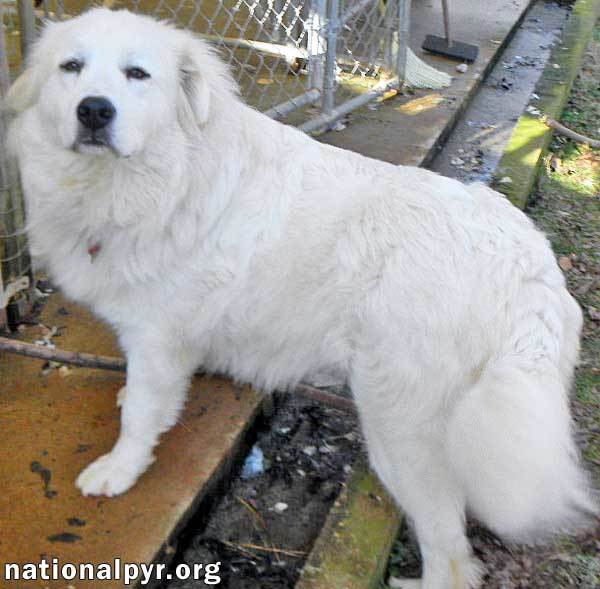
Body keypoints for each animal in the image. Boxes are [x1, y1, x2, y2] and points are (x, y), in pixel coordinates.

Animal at [7, 9, 596, 588]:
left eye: (137, 74)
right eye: (71, 67)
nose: (93, 111)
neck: (164, 175)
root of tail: (532, 267)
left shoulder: (157, 338)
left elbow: (140, 419)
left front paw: (118, 471)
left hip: (398, 428)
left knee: (451, 559)